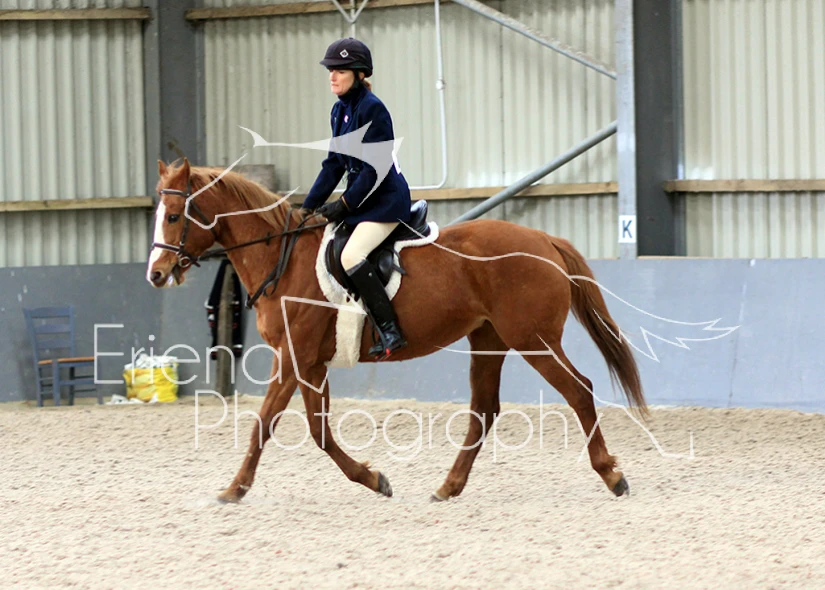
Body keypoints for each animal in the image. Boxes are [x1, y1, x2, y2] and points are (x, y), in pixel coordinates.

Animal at [147, 158, 647, 503]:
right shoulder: (308, 363)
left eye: (173, 216)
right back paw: (448, 486)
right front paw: (373, 479)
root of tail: (545, 240)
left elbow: (265, 424)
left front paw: (234, 489)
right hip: (488, 341)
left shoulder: (292, 358)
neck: (281, 260)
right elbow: (318, 430)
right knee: (484, 411)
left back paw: (612, 475)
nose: (155, 274)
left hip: (533, 341)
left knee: (579, 391)